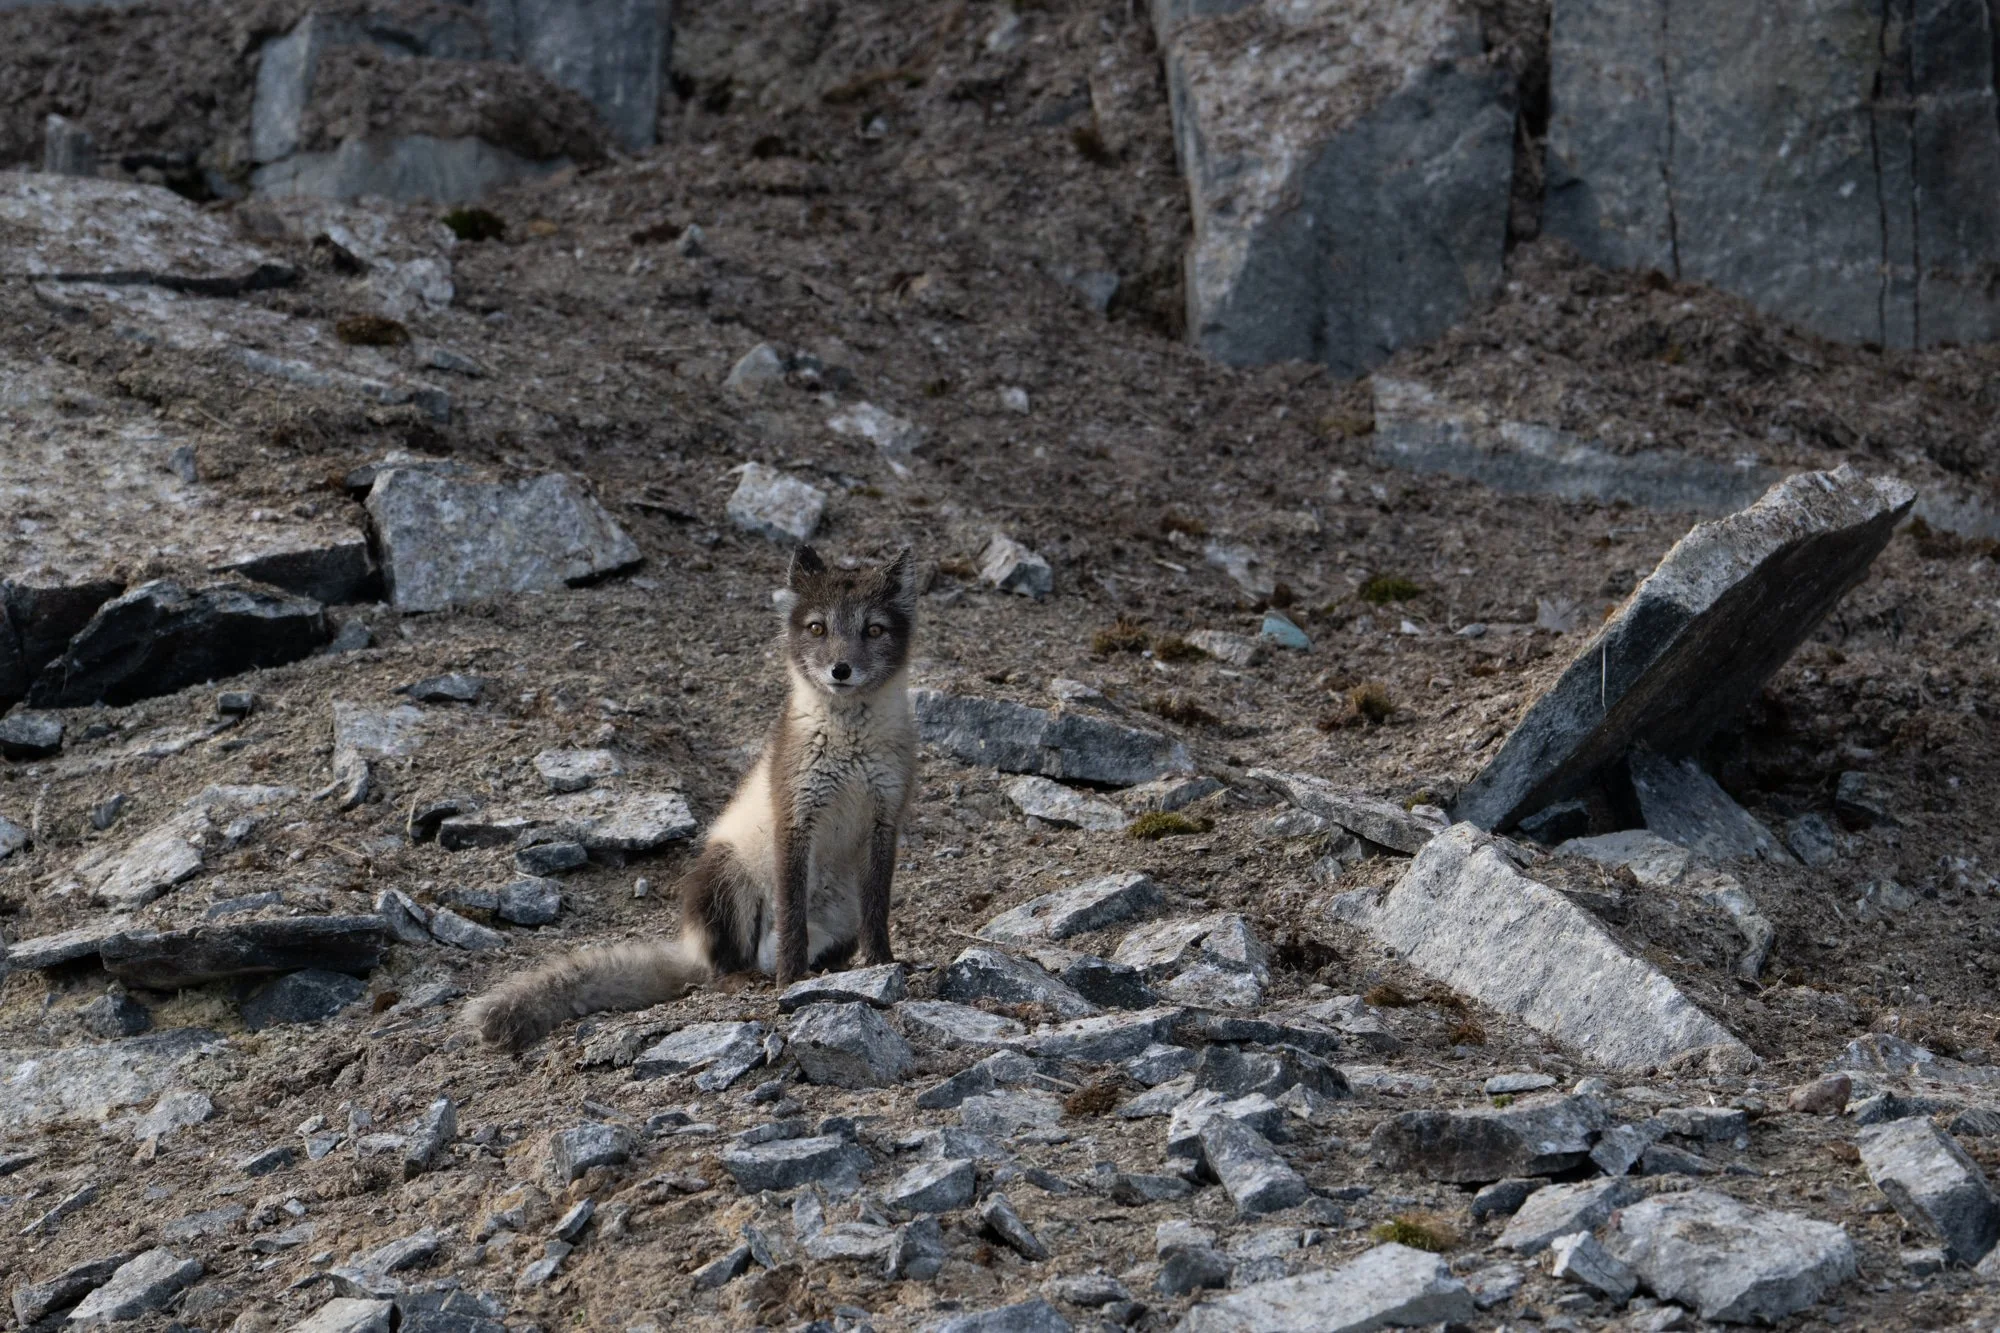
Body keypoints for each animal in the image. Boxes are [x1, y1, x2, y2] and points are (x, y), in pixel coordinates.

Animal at [465, 545, 920, 1051]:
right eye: (817, 628)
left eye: (873, 629)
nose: (840, 670)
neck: (848, 741)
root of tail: (691, 947)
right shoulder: (794, 818)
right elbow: (791, 918)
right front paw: (792, 981)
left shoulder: (885, 819)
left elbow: (877, 912)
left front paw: (882, 965)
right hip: (725, 875)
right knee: (724, 967)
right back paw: (748, 978)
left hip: (836, 914)